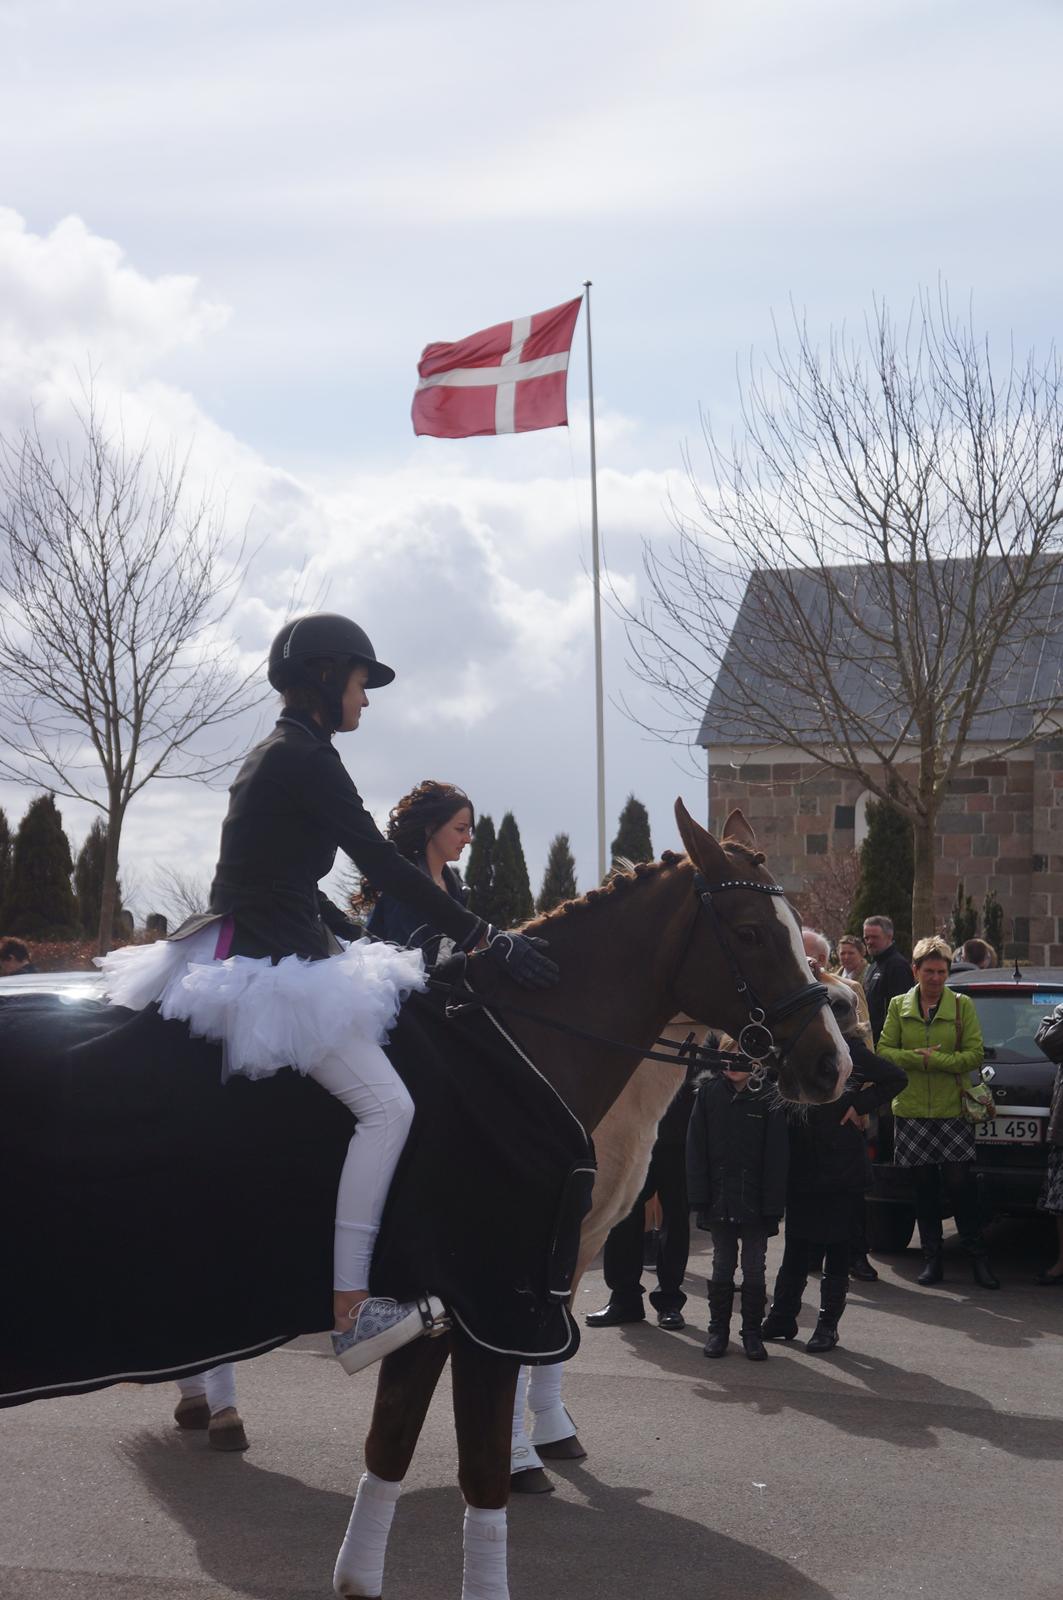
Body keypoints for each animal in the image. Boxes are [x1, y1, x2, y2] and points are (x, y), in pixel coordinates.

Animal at [336, 800, 851, 1600]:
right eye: (749, 934)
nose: (835, 1063)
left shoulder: (580, 1239)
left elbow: (551, 1353)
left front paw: (550, 1437)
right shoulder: (527, 1259)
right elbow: (522, 1358)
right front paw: (523, 1460)